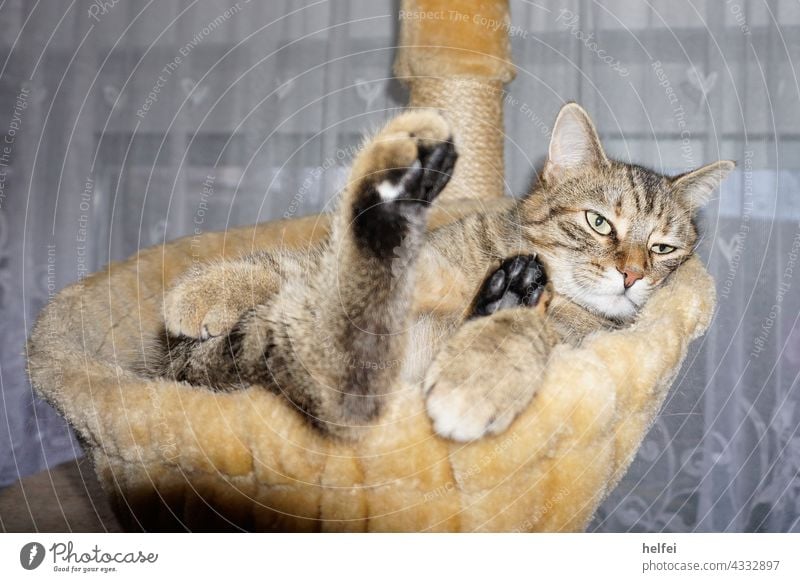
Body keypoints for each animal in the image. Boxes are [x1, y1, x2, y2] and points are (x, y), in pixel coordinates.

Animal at [147, 104, 736, 442]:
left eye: (663, 248)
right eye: (599, 222)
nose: (633, 275)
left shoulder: (575, 340)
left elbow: (525, 336)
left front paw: (484, 369)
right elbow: (305, 266)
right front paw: (209, 288)